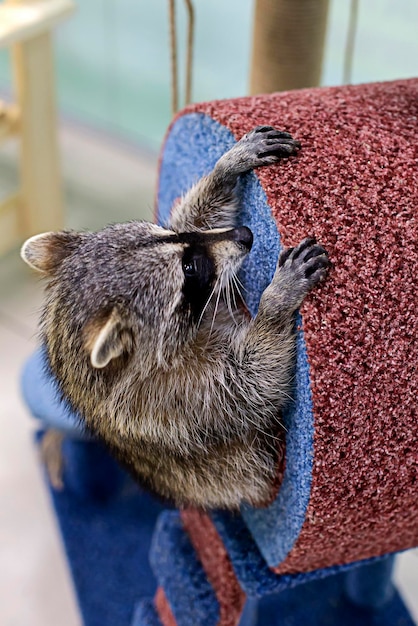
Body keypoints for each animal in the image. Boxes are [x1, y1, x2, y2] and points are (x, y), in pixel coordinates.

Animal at [22, 125, 330, 508]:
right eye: (190, 269)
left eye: (173, 235)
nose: (246, 234)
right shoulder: (175, 399)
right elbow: (253, 385)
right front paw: (275, 303)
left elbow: (197, 215)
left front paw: (224, 169)